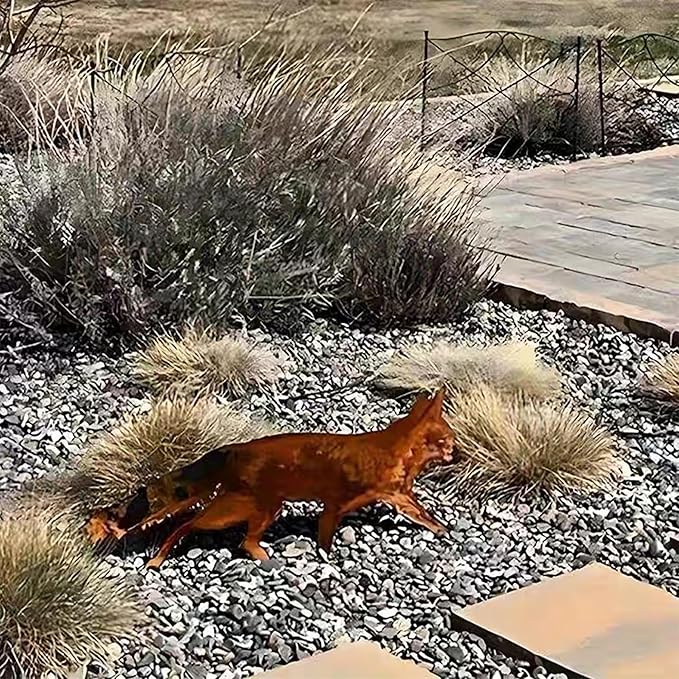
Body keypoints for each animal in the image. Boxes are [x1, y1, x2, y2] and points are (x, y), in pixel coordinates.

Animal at [86, 388, 456, 569]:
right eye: (448, 439)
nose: (457, 453)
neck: (394, 451)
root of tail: (233, 449)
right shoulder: (334, 505)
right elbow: (325, 540)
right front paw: (327, 561)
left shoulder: (398, 497)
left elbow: (426, 517)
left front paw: (442, 531)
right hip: (239, 511)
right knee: (191, 526)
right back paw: (159, 559)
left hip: (264, 509)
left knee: (242, 541)